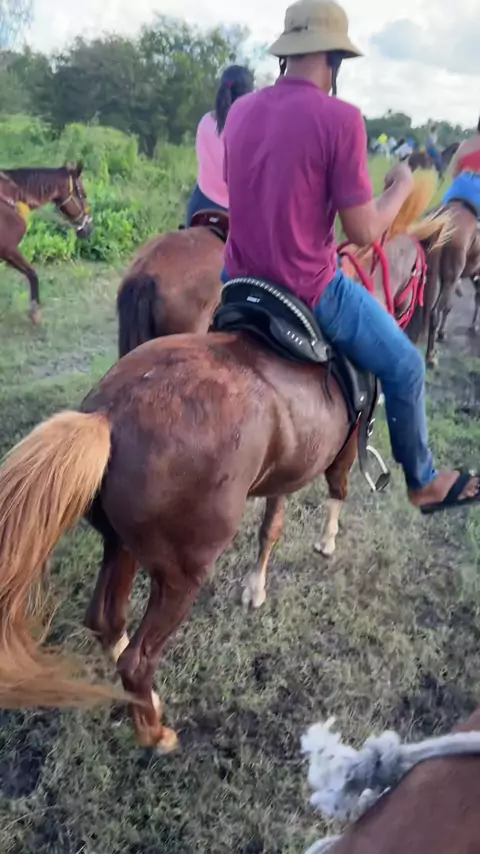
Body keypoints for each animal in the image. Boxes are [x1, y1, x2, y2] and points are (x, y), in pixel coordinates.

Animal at [0, 162, 93, 324]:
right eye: (83, 194)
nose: (88, 229)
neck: (11, 198)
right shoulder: (9, 250)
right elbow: (32, 274)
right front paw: (35, 313)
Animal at [0, 185, 452, 752]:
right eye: (421, 273)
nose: (421, 330)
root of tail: (108, 416)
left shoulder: (290, 464)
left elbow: (272, 524)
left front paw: (255, 586)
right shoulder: (344, 447)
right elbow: (337, 489)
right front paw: (326, 542)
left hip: (120, 543)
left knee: (106, 619)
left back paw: (144, 700)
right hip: (181, 574)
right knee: (138, 659)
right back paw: (156, 732)